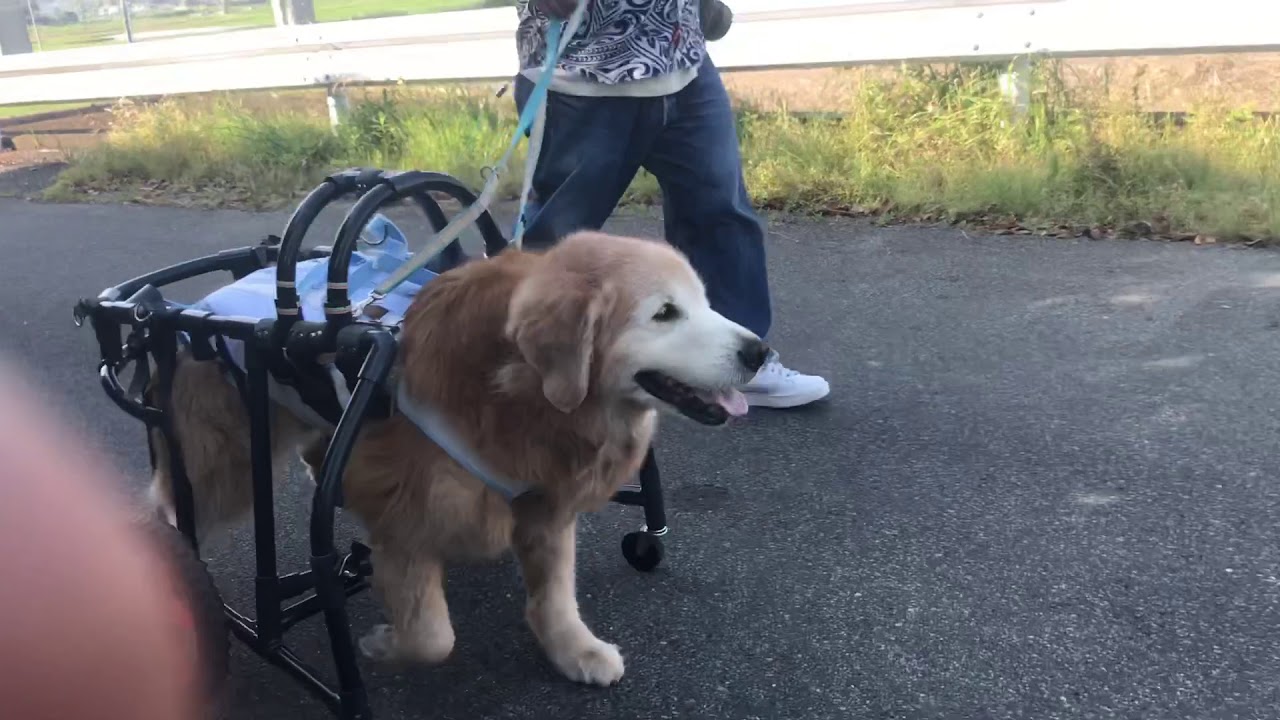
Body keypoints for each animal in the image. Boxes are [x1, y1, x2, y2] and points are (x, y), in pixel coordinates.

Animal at [149, 229, 768, 681]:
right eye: (665, 313)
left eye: (705, 302)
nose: (760, 351)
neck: (512, 390)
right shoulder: (407, 520)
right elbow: (432, 636)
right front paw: (385, 644)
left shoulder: (544, 502)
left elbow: (555, 596)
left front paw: (574, 650)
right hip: (226, 467)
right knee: (170, 503)